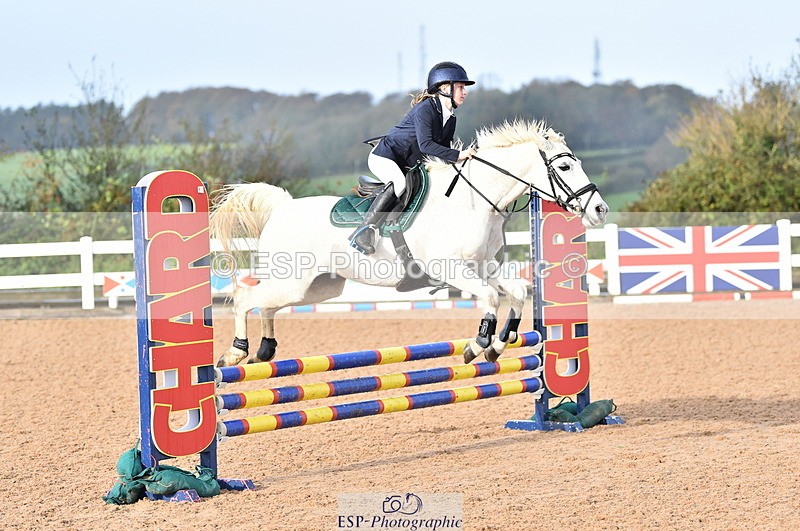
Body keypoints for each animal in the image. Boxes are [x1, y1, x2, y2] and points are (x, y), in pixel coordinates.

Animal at [211, 120, 608, 367]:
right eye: (565, 168)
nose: (599, 210)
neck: (474, 199)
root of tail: (283, 207)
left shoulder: (483, 265)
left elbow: (518, 291)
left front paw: (497, 345)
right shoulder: (452, 269)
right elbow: (491, 298)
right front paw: (476, 345)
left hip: (316, 288)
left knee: (266, 305)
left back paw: (265, 350)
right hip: (295, 281)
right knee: (245, 298)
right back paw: (235, 353)